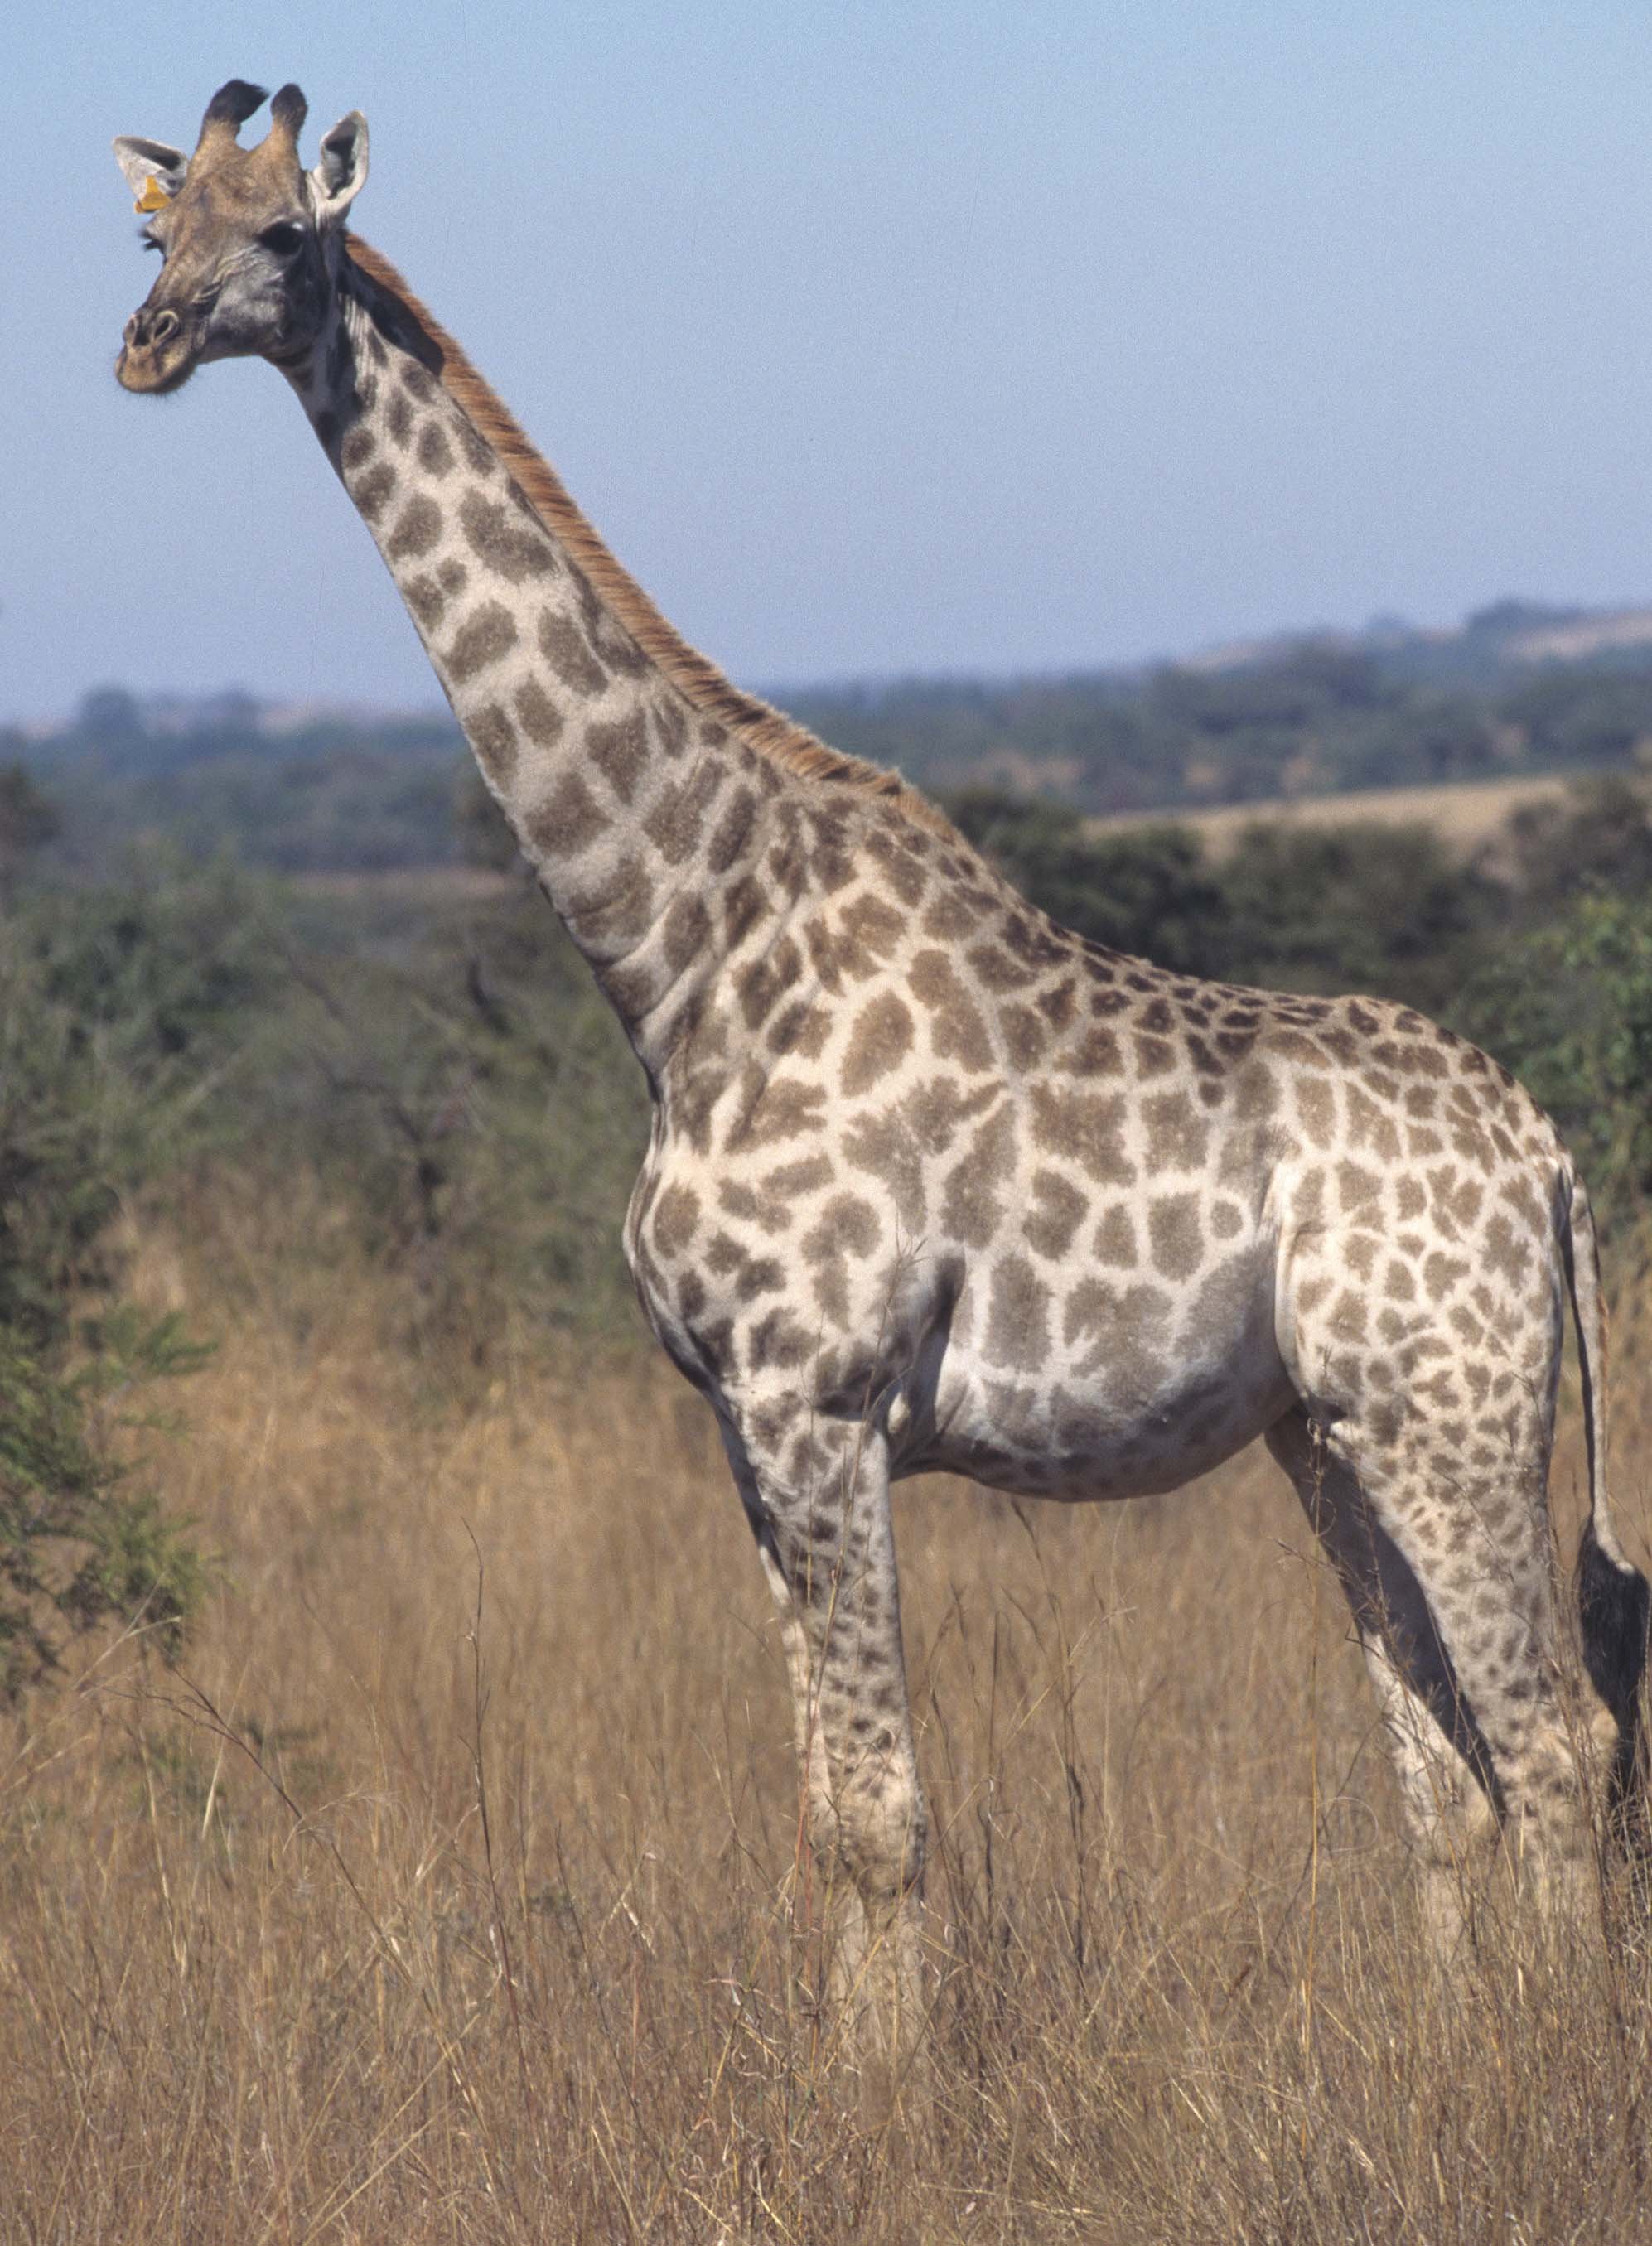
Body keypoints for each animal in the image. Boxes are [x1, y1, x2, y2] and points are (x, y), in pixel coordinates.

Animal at [114, 81, 1649, 2081]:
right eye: (157, 233)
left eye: (284, 234)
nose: (144, 347)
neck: (678, 954)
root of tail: (1544, 1153)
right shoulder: (737, 1421)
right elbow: (827, 1810)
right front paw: (856, 2080)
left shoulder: (818, 1396)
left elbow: (883, 1814)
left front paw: (890, 2105)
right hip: (1330, 1430)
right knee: (1447, 1772)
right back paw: (1458, 2054)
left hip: (1450, 1413)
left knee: (1556, 1739)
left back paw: (1551, 2074)